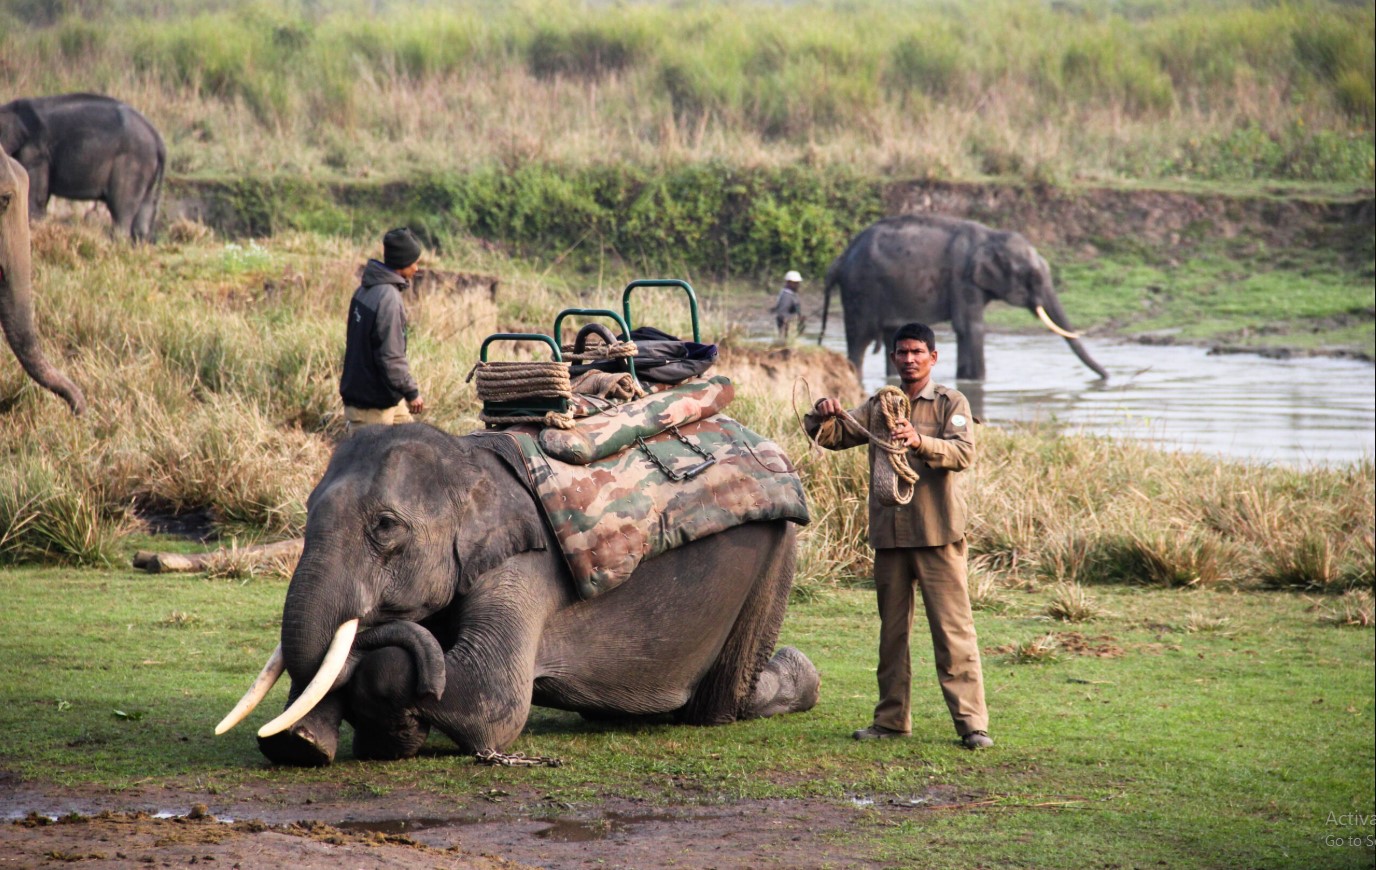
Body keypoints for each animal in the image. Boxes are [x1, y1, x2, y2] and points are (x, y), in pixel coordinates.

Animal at [0, 93, 165, 242]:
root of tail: (158, 139)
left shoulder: (36, 152)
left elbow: (35, 197)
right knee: (144, 214)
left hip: (132, 164)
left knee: (121, 210)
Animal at [216, 423, 820, 765]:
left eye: (385, 527)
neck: (470, 464)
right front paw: (303, 744)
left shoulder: (528, 565)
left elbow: (495, 696)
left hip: (777, 553)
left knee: (723, 702)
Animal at [820, 214, 1108, 382]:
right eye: (1032, 276)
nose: (1107, 376)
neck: (991, 236)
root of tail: (841, 258)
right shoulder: (963, 279)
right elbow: (971, 327)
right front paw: (977, 382)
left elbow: (963, 330)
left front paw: (964, 380)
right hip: (860, 292)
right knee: (859, 340)